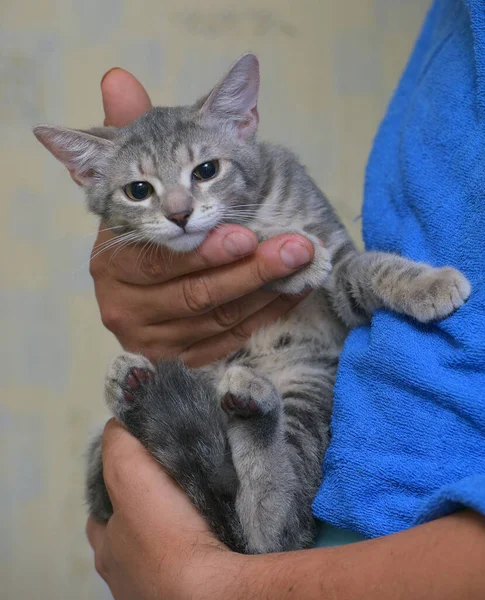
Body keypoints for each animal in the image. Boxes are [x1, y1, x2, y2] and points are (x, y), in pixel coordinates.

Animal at [33, 55, 468, 552]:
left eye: (206, 170)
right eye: (138, 190)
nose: (179, 214)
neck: (259, 207)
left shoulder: (340, 279)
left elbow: (364, 269)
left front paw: (430, 283)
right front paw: (291, 257)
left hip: (310, 388)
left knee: (275, 530)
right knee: (269, 531)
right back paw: (148, 392)